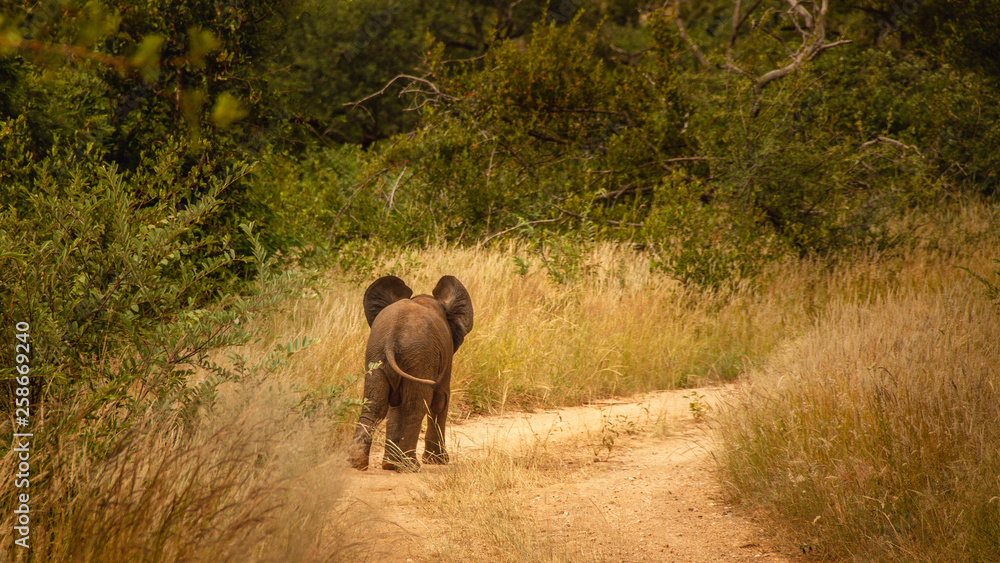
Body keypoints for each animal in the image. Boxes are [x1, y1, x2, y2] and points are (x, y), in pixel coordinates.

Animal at [347, 275, 474, 471]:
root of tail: (391, 339)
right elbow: (440, 400)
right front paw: (438, 461)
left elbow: (394, 407)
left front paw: (390, 464)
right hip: (420, 356)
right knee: (415, 405)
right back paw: (410, 466)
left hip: (379, 354)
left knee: (375, 404)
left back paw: (359, 462)